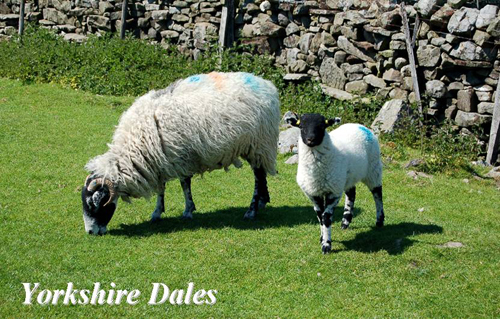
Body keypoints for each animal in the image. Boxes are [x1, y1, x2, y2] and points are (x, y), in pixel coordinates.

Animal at [80, 73, 280, 238]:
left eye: (94, 203)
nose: (90, 232)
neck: (135, 145)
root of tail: (268, 85)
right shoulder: (159, 161)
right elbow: (161, 189)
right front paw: (157, 213)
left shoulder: (181, 156)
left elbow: (185, 185)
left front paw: (188, 211)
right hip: (255, 148)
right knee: (261, 174)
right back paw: (262, 202)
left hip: (259, 144)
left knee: (258, 176)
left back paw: (252, 210)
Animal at [288, 114, 384, 254]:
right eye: (301, 126)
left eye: (322, 126)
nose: (311, 139)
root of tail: (358, 125)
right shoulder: (313, 193)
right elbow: (320, 216)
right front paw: (322, 237)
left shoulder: (333, 192)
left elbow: (326, 217)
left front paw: (326, 245)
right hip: (347, 177)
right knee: (351, 194)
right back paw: (345, 221)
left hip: (373, 169)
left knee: (377, 194)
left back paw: (379, 220)